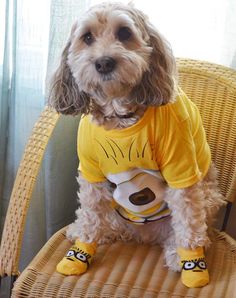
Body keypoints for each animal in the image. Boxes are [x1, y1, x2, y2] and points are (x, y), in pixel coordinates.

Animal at [48, 1, 226, 288]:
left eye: (124, 32)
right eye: (87, 37)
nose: (104, 62)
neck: (120, 116)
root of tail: (145, 235)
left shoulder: (182, 168)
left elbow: (188, 220)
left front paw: (192, 265)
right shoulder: (91, 173)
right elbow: (91, 216)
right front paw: (80, 253)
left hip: (208, 198)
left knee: (191, 228)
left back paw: (178, 253)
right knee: (106, 221)